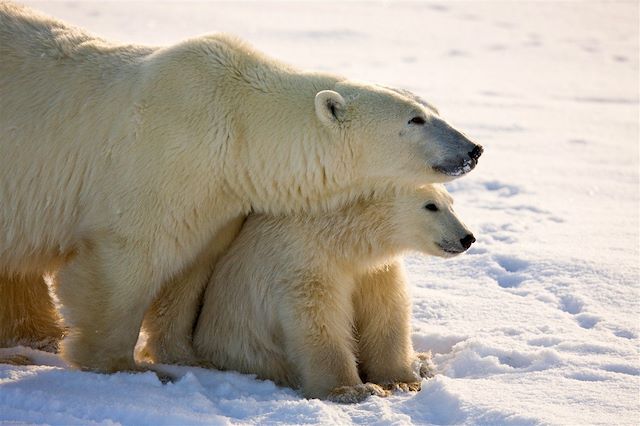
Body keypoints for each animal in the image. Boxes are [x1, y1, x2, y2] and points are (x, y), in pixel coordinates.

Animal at [0, 1, 480, 372]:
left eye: (434, 110)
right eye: (416, 119)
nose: (473, 149)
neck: (237, 127)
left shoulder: (216, 200)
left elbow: (190, 271)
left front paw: (185, 357)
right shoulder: (159, 162)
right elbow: (128, 259)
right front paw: (118, 365)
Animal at [192, 185, 472, 402]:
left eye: (451, 203)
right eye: (431, 206)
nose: (467, 237)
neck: (342, 239)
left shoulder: (372, 270)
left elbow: (386, 310)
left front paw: (403, 381)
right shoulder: (305, 260)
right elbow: (320, 321)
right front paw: (354, 390)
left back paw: (423, 362)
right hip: (250, 354)